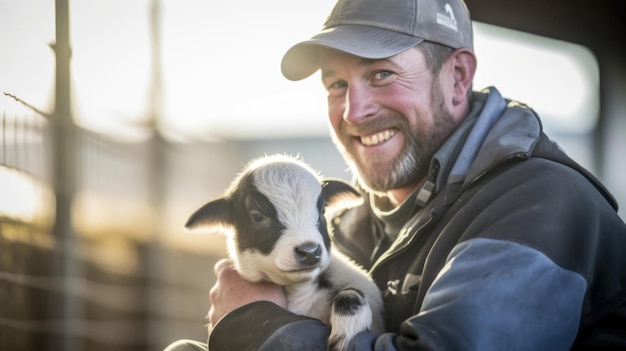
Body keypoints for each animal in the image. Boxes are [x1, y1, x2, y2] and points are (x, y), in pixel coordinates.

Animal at [183, 155, 382, 351]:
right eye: (257, 217)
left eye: (323, 210)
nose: (309, 252)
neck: (298, 291)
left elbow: (349, 294)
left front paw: (348, 335)